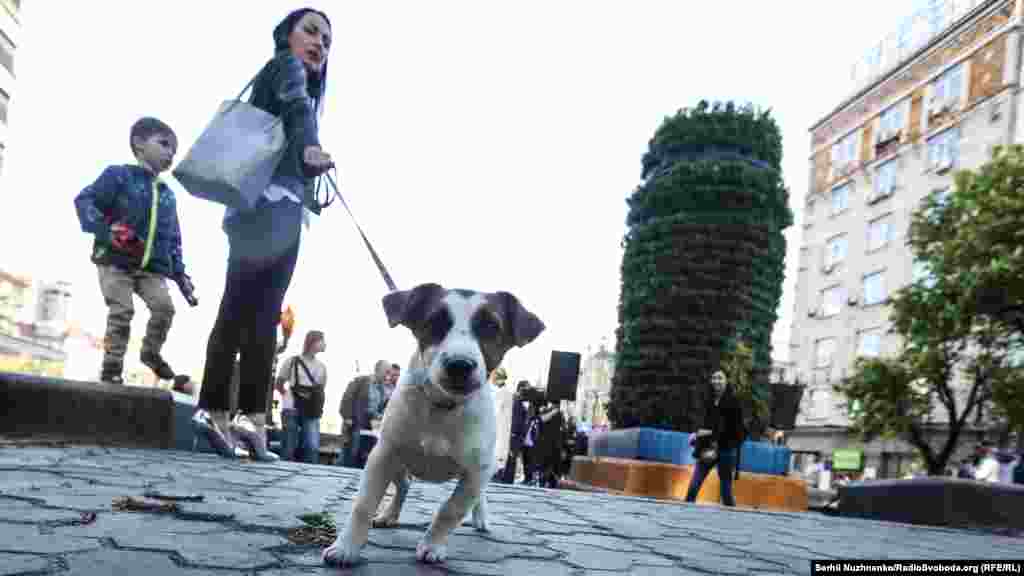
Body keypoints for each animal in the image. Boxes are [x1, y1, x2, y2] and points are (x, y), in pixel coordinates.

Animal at [327, 280, 548, 561]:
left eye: (491, 327)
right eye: (435, 322)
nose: (459, 365)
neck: (443, 407)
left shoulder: (476, 472)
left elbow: (451, 509)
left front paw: (432, 545)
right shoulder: (383, 455)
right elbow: (363, 504)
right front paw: (347, 547)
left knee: (478, 497)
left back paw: (481, 518)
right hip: (399, 463)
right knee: (404, 485)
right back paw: (389, 514)